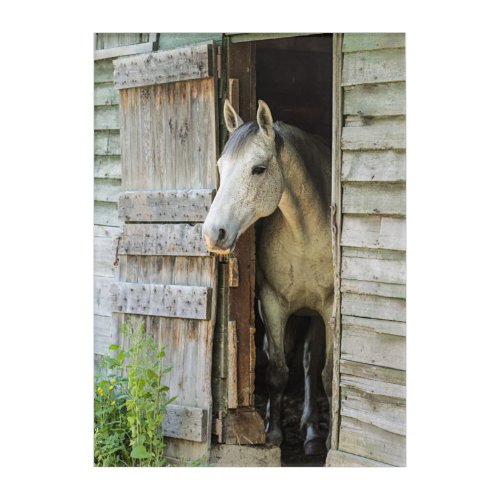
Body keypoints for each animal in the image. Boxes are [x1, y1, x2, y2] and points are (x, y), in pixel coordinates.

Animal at [201, 99, 334, 456]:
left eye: (258, 169)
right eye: (220, 166)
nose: (213, 233)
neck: (305, 236)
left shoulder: (329, 309)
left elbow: (327, 374)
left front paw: (328, 439)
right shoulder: (272, 304)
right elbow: (276, 371)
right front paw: (272, 434)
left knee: (309, 364)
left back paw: (312, 432)